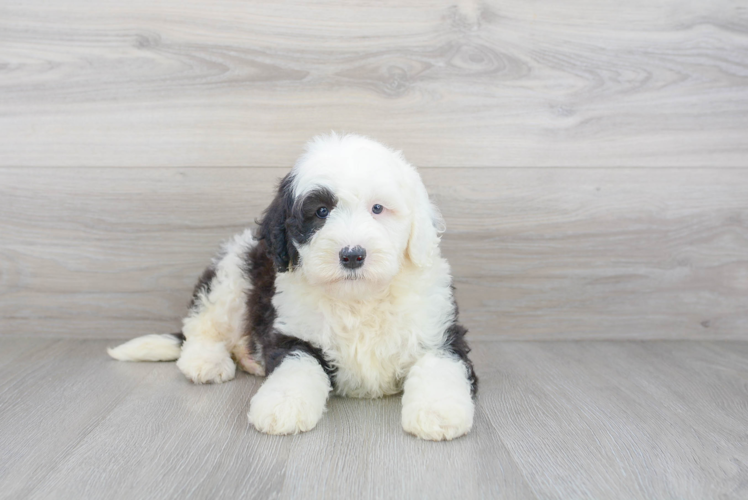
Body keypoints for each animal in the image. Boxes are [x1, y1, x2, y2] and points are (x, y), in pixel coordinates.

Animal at [108, 133, 476, 442]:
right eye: (321, 211)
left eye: (377, 208)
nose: (352, 255)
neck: (358, 300)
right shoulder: (293, 333)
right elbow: (298, 367)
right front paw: (280, 407)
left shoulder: (439, 332)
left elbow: (441, 366)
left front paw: (438, 413)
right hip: (233, 274)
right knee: (202, 327)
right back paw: (207, 362)